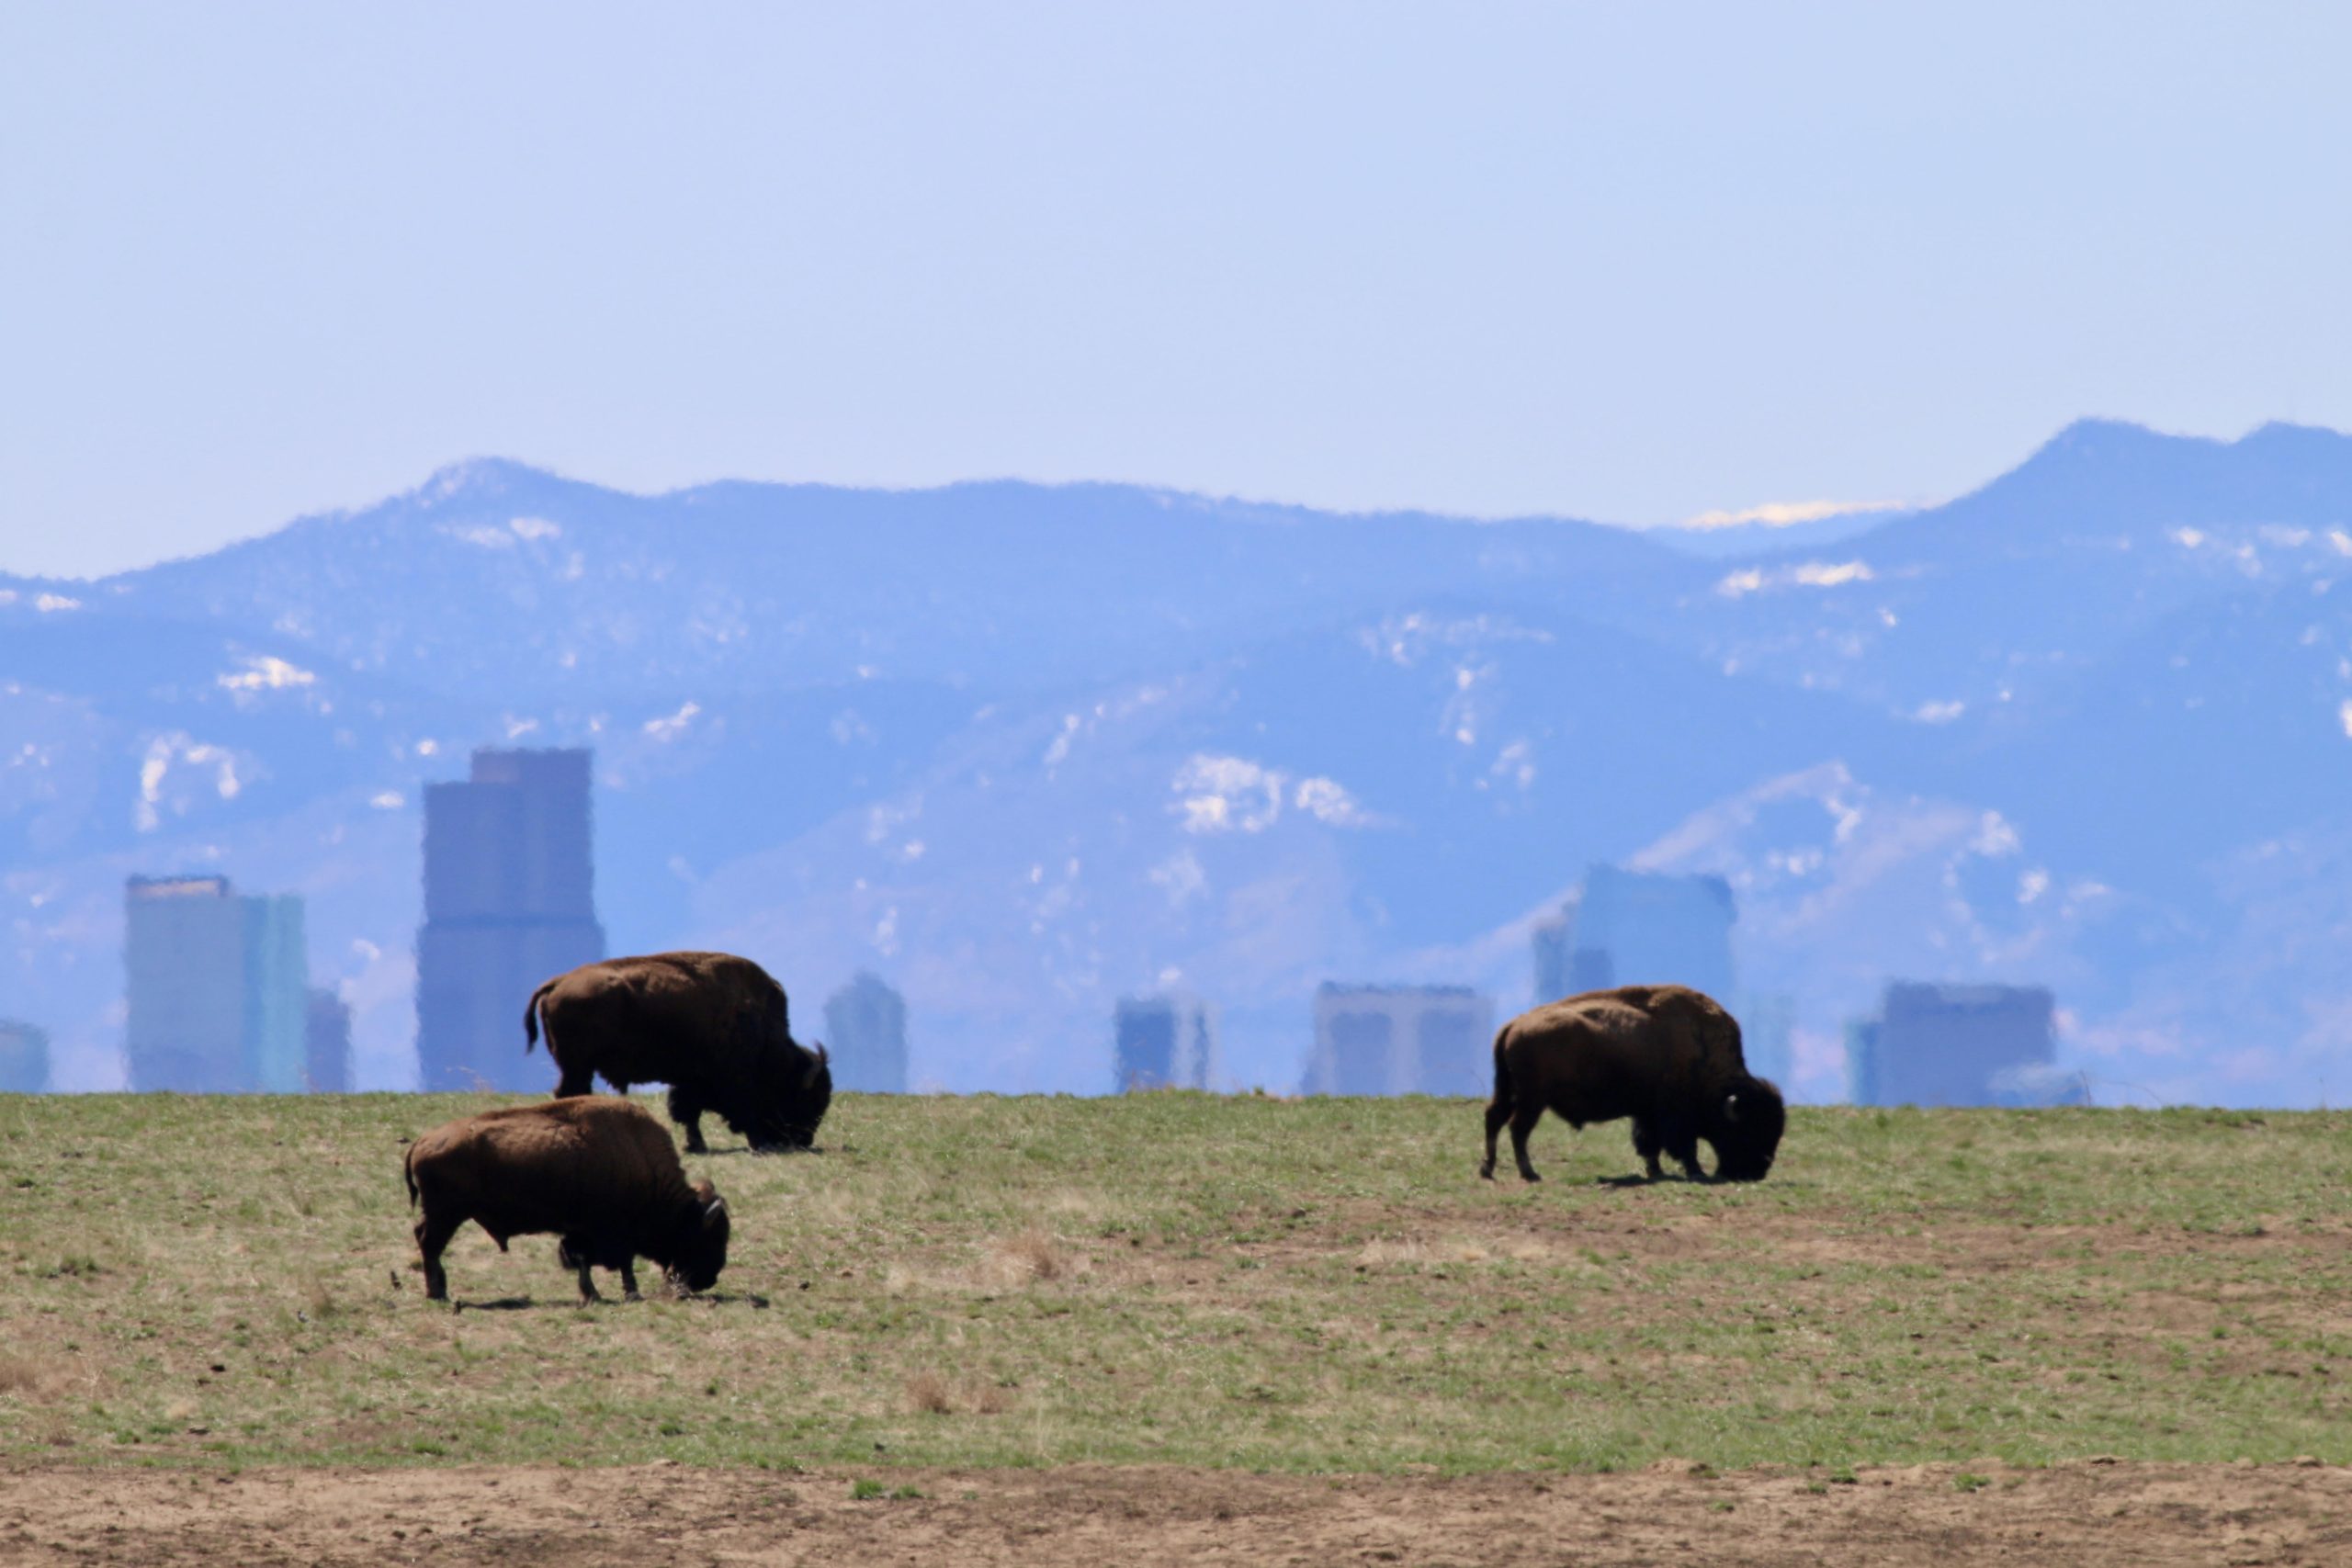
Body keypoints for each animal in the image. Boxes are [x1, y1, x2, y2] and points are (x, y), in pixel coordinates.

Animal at [400, 1090, 724, 1297]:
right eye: (707, 1237)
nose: (710, 1278)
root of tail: (421, 1141)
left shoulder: (581, 1231)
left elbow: (581, 1259)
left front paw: (592, 1294)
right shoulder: (613, 1234)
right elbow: (621, 1263)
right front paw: (629, 1293)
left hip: (443, 1214)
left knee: (425, 1239)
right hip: (447, 1214)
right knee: (430, 1244)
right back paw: (437, 1292)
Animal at [526, 944, 837, 1152]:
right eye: (809, 1098)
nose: (804, 1140)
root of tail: (557, 982)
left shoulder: (691, 1080)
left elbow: (688, 1112)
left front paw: (695, 1145)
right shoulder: (734, 1081)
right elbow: (735, 1110)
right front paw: (757, 1144)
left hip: (576, 1066)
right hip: (577, 1065)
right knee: (570, 1092)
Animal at [1476, 987, 1787, 1184]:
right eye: (1749, 1130)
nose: (1756, 1172)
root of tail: (1514, 1025)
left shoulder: (1647, 1113)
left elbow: (1649, 1143)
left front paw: (1655, 1171)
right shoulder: (1675, 1117)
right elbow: (1684, 1146)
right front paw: (1695, 1172)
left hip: (1508, 1091)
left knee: (1494, 1119)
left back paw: (1487, 1170)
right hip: (1533, 1098)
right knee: (1518, 1128)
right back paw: (1530, 1173)